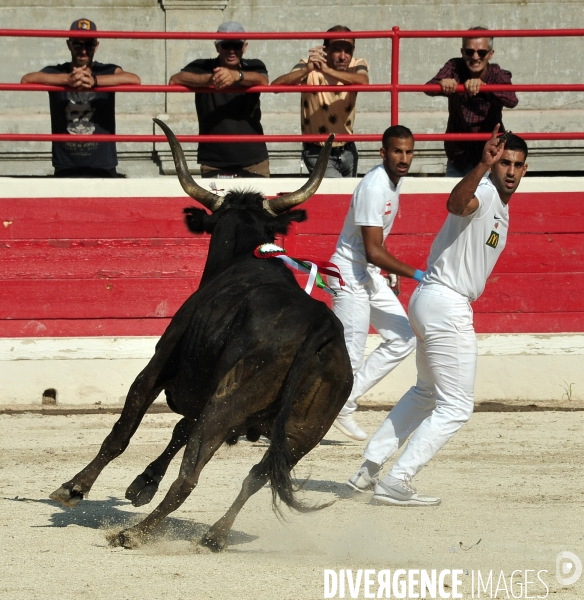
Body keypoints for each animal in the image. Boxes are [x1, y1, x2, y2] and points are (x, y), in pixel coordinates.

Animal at [49, 119, 352, 552]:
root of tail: (319, 326)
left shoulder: (160, 363)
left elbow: (123, 430)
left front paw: (75, 488)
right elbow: (180, 428)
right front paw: (141, 485)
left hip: (227, 406)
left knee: (189, 477)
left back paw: (134, 533)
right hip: (302, 433)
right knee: (256, 477)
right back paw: (214, 535)